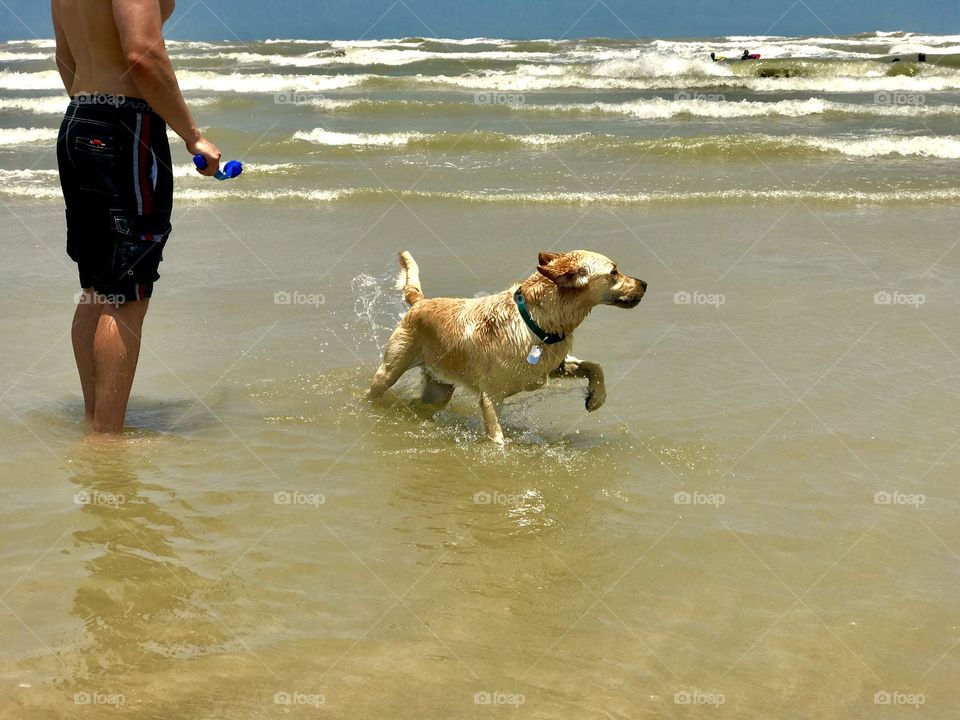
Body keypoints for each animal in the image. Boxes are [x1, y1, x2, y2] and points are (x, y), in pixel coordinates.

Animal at [366, 250, 644, 442]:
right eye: (614, 272)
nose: (645, 284)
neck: (536, 319)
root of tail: (419, 302)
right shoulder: (491, 396)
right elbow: (497, 438)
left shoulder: (551, 367)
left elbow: (594, 366)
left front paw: (596, 398)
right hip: (390, 369)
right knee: (375, 390)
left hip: (440, 388)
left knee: (420, 404)